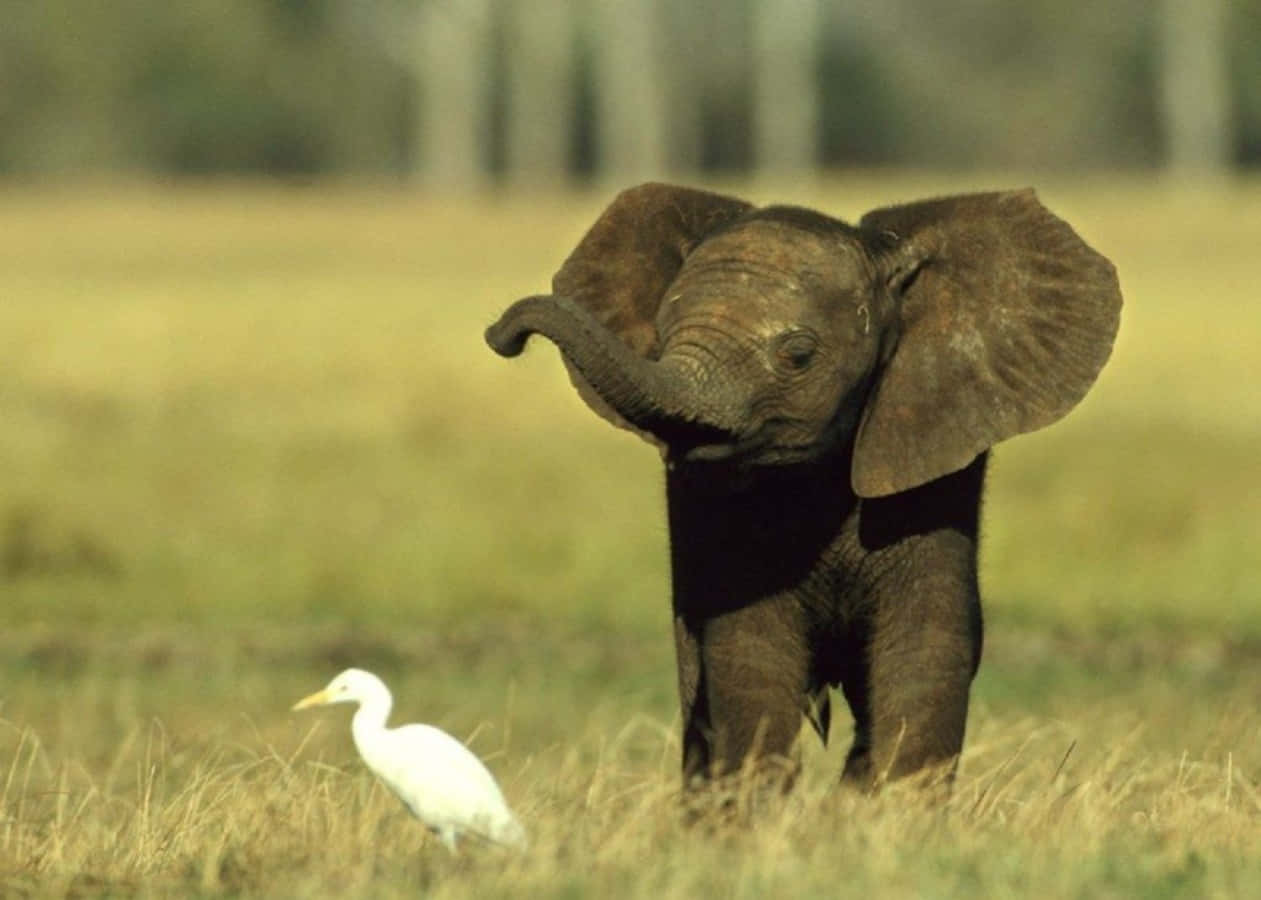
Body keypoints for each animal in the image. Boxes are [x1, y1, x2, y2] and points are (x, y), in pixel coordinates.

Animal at [485, 183, 1121, 790]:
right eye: (660, 339)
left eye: (798, 355)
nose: (501, 335)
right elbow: (751, 657)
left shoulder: (932, 470)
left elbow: (923, 655)